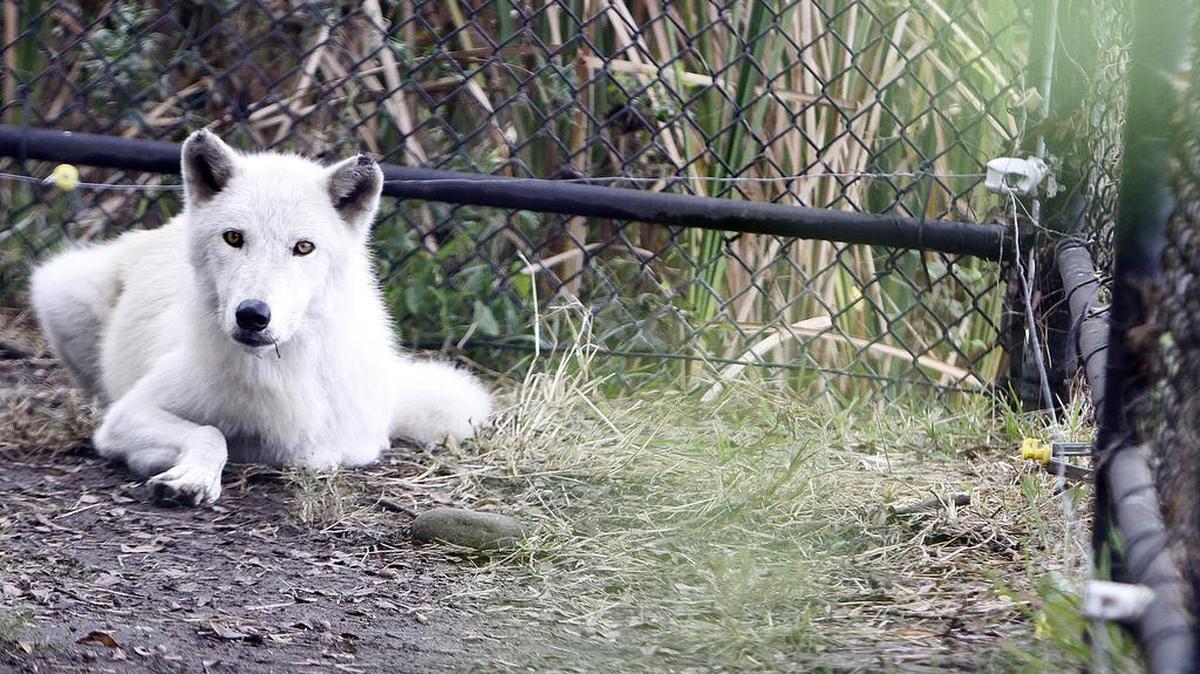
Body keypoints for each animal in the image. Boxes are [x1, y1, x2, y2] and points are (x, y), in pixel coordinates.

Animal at [29, 130, 493, 506]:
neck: (271, 370)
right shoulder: (127, 416)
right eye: (234, 238)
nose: (252, 315)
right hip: (61, 291)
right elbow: (210, 433)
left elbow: (300, 453)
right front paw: (190, 478)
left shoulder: (348, 443)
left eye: (303, 247)